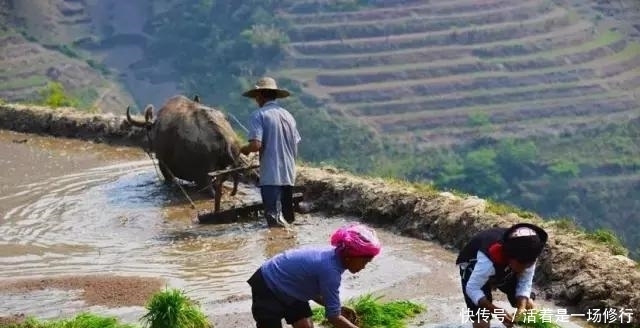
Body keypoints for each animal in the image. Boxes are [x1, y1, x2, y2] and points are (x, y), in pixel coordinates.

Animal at [125, 93, 255, 210]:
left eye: (147, 131)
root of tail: (222, 135)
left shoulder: (163, 164)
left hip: (204, 173)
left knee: (211, 191)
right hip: (231, 161)